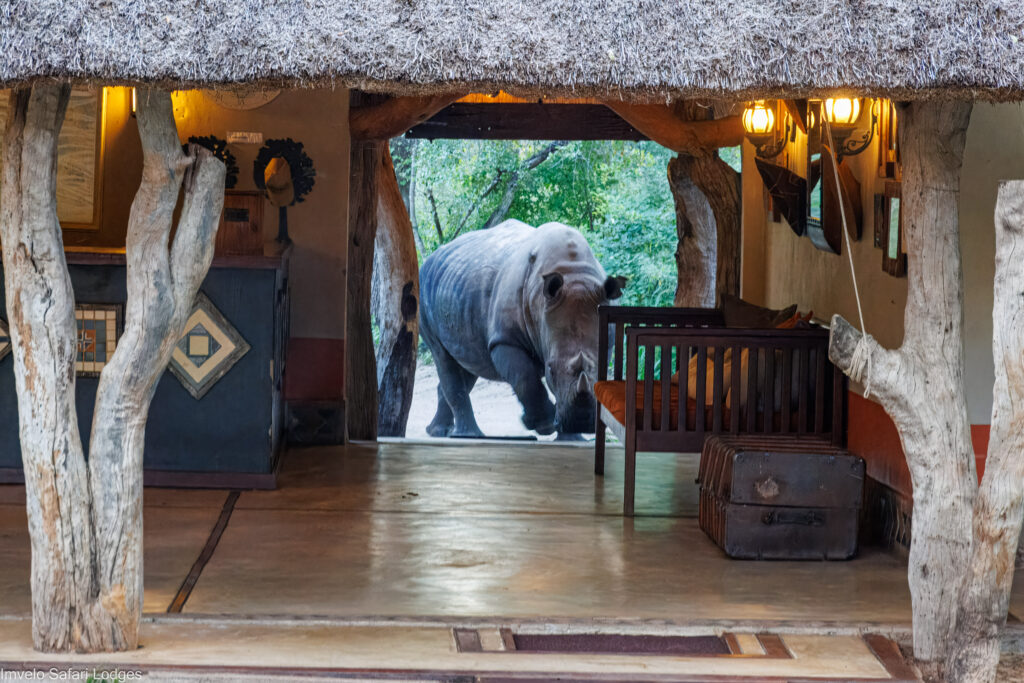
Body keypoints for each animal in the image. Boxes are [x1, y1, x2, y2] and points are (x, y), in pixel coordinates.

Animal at [419, 219, 625, 440]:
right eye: (550, 369)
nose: (582, 422)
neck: (573, 272)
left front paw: (572, 438)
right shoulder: (505, 339)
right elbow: (525, 378)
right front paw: (544, 425)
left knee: (469, 361)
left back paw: (438, 431)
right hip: (423, 290)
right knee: (443, 356)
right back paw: (466, 436)